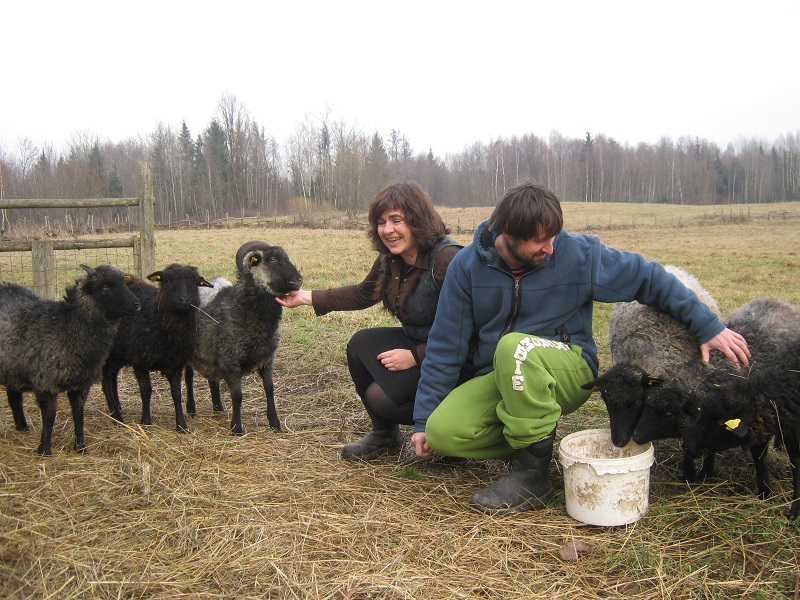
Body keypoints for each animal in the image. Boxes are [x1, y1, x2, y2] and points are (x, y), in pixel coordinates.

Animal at [0, 264, 141, 458]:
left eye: (123, 283)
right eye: (105, 287)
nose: (137, 304)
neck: (68, 325)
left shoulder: (81, 384)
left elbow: (78, 414)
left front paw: (81, 447)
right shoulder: (46, 381)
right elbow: (49, 416)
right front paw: (44, 450)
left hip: (14, 366)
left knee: (13, 396)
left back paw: (22, 428)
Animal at [99, 262, 212, 432]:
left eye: (194, 283)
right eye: (168, 281)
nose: (183, 299)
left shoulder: (176, 362)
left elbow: (176, 393)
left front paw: (181, 425)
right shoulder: (140, 361)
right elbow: (146, 391)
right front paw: (146, 421)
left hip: (119, 353)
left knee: (112, 376)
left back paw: (118, 407)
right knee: (106, 380)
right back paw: (116, 417)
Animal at [184, 241, 304, 434]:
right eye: (272, 260)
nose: (299, 280)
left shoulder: (267, 359)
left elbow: (269, 389)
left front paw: (275, 423)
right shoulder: (230, 360)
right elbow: (237, 395)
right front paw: (237, 428)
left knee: (212, 379)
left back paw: (218, 408)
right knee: (188, 377)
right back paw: (191, 409)